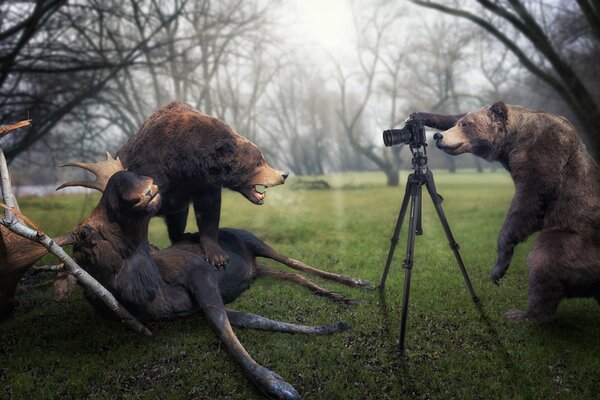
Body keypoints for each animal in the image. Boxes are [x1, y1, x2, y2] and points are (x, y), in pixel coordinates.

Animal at [59, 155, 370, 400]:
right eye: (87, 233)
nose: (143, 185)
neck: (152, 295)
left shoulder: (200, 273)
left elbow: (223, 325)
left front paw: (277, 384)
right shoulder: (195, 306)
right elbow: (250, 319)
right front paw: (331, 326)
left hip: (257, 242)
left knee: (295, 262)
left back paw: (354, 282)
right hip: (258, 269)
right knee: (288, 274)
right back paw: (336, 295)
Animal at [412, 102, 600, 322]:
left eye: (466, 125)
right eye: (460, 123)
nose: (438, 137)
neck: (513, 140)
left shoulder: (542, 152)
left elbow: (530, 201)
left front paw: (498, 268)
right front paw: (418, 115)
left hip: (575, 237)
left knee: (544, 260)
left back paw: (524, 314)